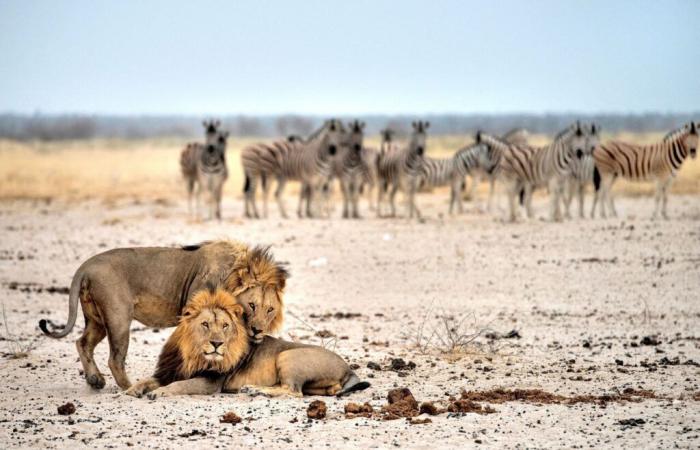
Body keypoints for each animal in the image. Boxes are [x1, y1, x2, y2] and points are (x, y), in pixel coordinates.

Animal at [37, 239, 290, 390]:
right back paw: (128, 386)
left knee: (82, 343)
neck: (231, 274)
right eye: (252, 305)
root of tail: (85, 266)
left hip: (97, 319)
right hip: (118, 317)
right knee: (114, 359)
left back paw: (95, 380)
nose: (257, 330)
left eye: (270, 309)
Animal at [126, 286, 370, 400]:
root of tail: (348, 368)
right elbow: (147, 380)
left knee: (293, 391)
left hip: (287, 355)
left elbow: (180, 385)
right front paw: (131, 390)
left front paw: (159, 392)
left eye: (225, 325)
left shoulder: (211, 382)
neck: (192, 353)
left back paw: (255, 389)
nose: (217, 344)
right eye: (205, 324)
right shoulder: (169, 371)